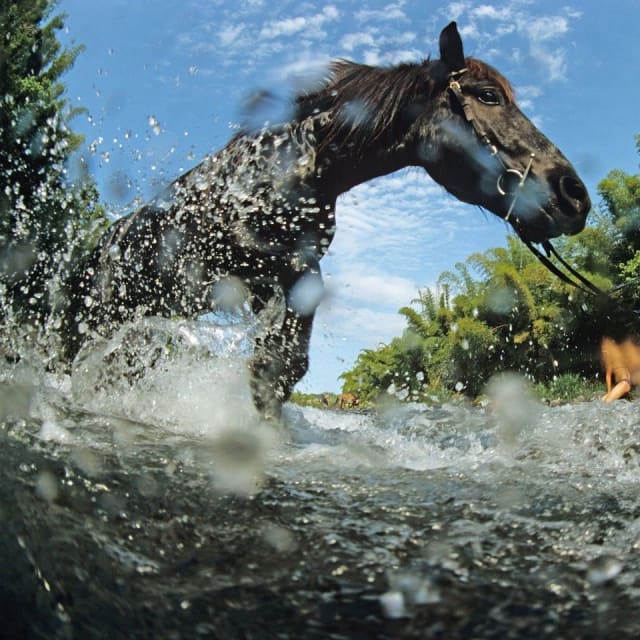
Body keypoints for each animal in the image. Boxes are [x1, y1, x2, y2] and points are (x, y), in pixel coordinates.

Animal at [60, 22, 591, 419]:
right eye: (488, 95)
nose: (574, 195)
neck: (295, 163)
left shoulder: (287, 274)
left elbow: (286, 356)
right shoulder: (249, 264)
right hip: (99, 317)